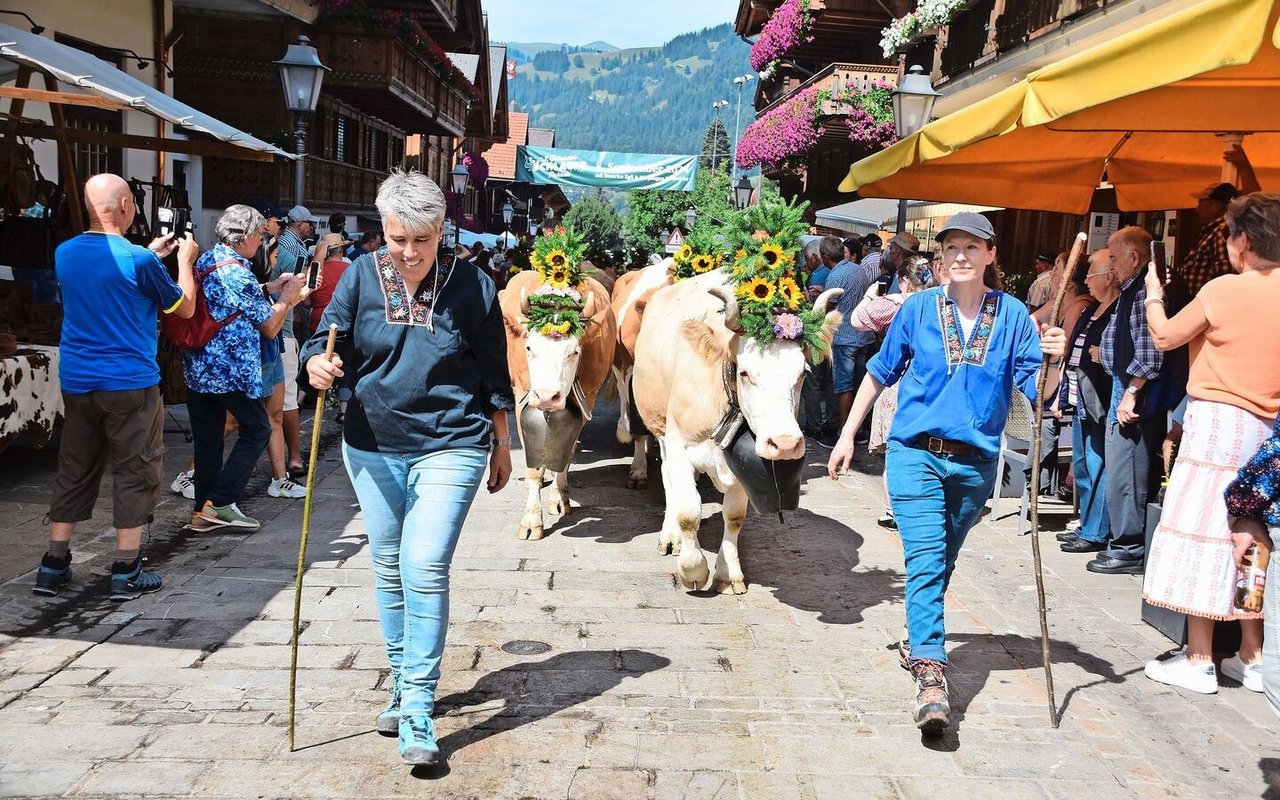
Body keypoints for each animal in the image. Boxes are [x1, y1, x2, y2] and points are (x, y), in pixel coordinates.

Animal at [496, 271, 616, 540]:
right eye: (529, 347)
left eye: (574, 352)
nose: (546, 397)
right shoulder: (523, 396)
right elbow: (533, 465)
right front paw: (531, 519)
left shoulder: (586, 402)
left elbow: (567, 453)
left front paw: (560, 498)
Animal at [629, 271, 839, 588]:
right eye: (744, 372)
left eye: (803, 372)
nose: (785, 444)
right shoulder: (679, 446)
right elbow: (689, 512)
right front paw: (693, 570)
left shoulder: (741, 463)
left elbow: (735, 516)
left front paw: (728, 573)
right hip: (660, 427)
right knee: (668, 481)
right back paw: (670, 537)